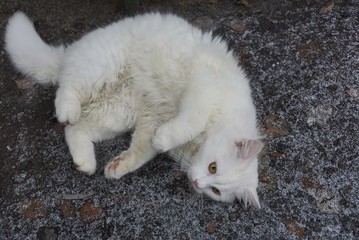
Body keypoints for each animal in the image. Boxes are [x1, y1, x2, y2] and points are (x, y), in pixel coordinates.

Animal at [4, 11, 264, 208]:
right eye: (213, 167)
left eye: (216, 191)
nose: (199, 184)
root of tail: (70, 50)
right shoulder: (203, 91)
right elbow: (189, 122)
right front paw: (163, 139)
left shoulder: (152, 116)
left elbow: (141, 150)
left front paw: (120, 166)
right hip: (102, 67)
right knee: (67, 89)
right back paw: (67, 111)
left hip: (117, 112)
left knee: (75, 130)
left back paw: (85, 162)